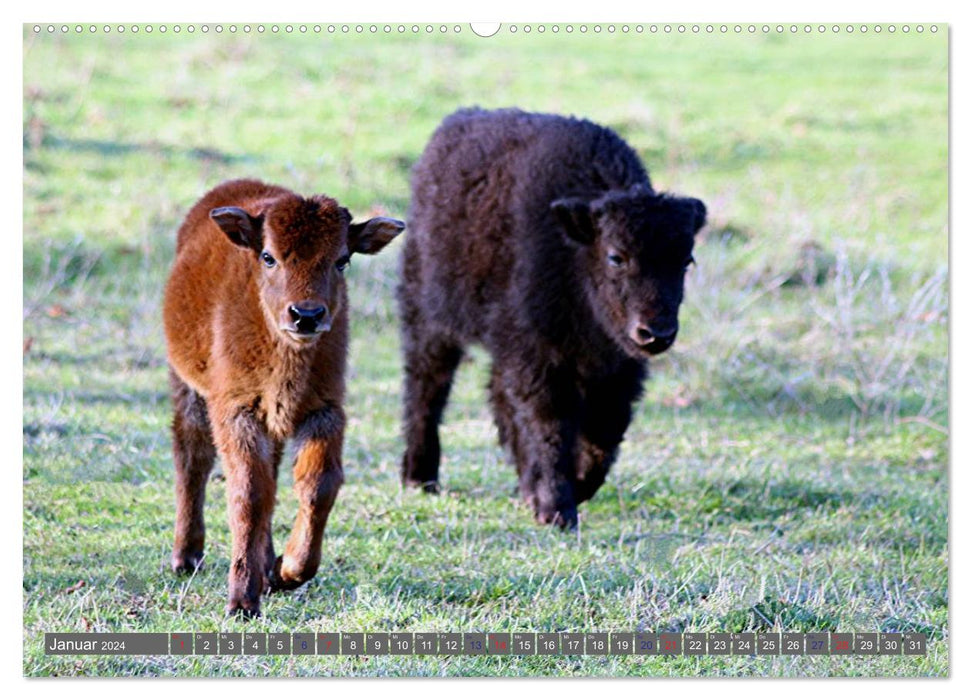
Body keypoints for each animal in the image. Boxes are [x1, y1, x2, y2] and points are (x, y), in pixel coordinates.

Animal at [163, 180, 402, 616]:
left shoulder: (324, 410)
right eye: (268, 256)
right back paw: (186, 557)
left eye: (342, 260)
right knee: (192, 455)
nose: (306, 316)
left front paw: (285, 570)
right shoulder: (236, 410)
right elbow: (249, 493)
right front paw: (242, 602)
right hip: (186, 385)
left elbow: (317, 484)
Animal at [398, 108, 712, 524]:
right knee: (427, 387)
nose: (656, 333)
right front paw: (556, 509)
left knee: (495, 395)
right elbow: (550, 426)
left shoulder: (617, 369)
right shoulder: (539, 357)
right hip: (429, 319)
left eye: (686, 260)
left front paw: (572, 488)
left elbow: (605, 431)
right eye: (616, 256)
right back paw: (420, 478)